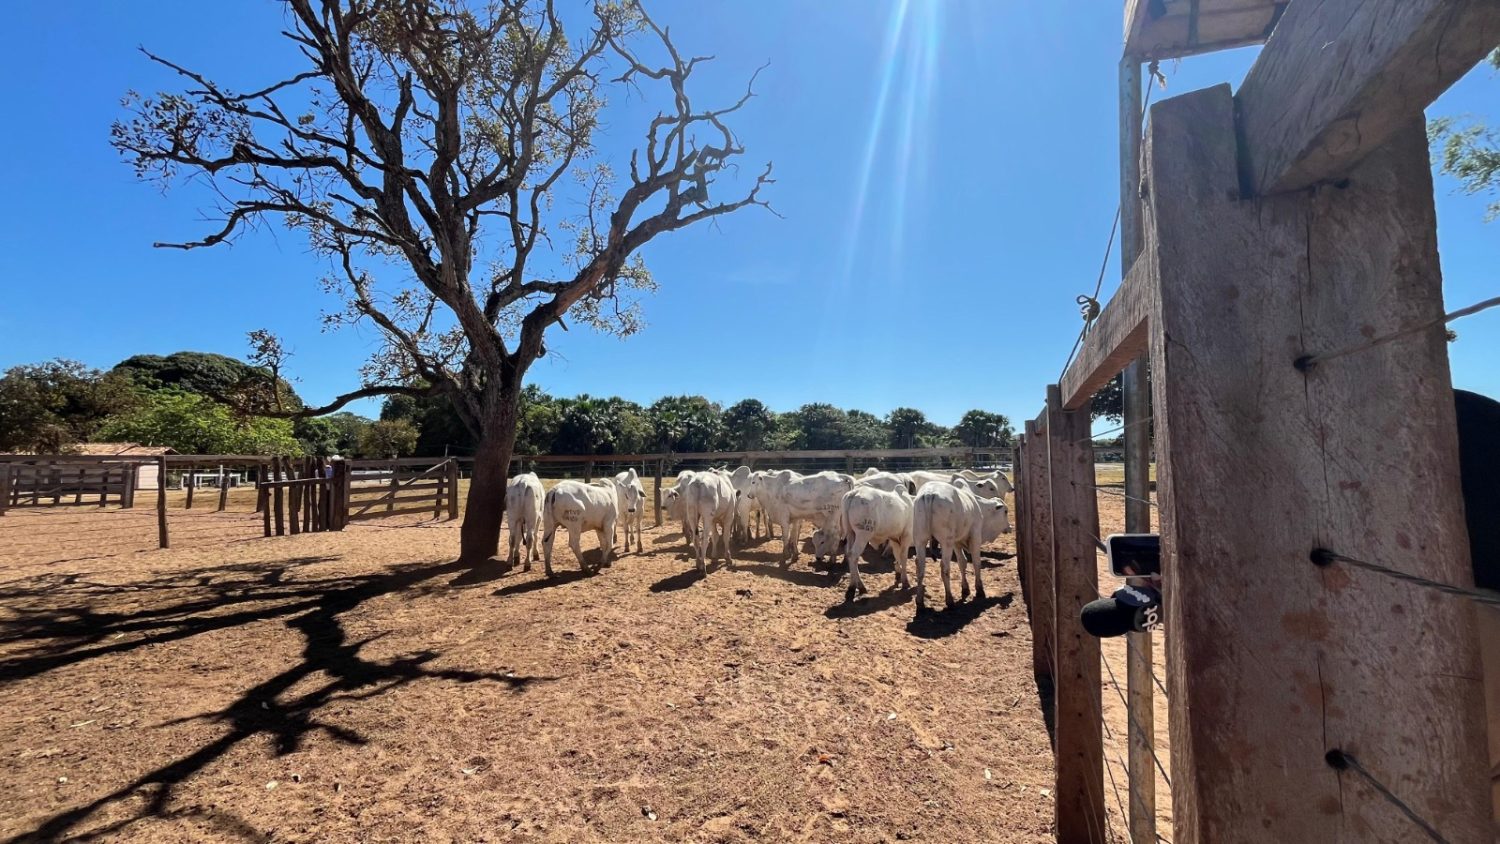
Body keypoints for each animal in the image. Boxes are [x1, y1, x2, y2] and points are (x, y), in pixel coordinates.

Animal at [906, 479, 1014, 611]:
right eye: (1005, 511)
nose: (1010, 527)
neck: (979, 506)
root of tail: (928, 494)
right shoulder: (975, 536)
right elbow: (976, 563)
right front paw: (979, 590)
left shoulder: (956, 543)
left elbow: (962, 562)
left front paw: (965, 588)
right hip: (946, 542)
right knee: (945, 568)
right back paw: (950, 600)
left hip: (920, 539)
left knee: (920, 567)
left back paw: (920, 602)